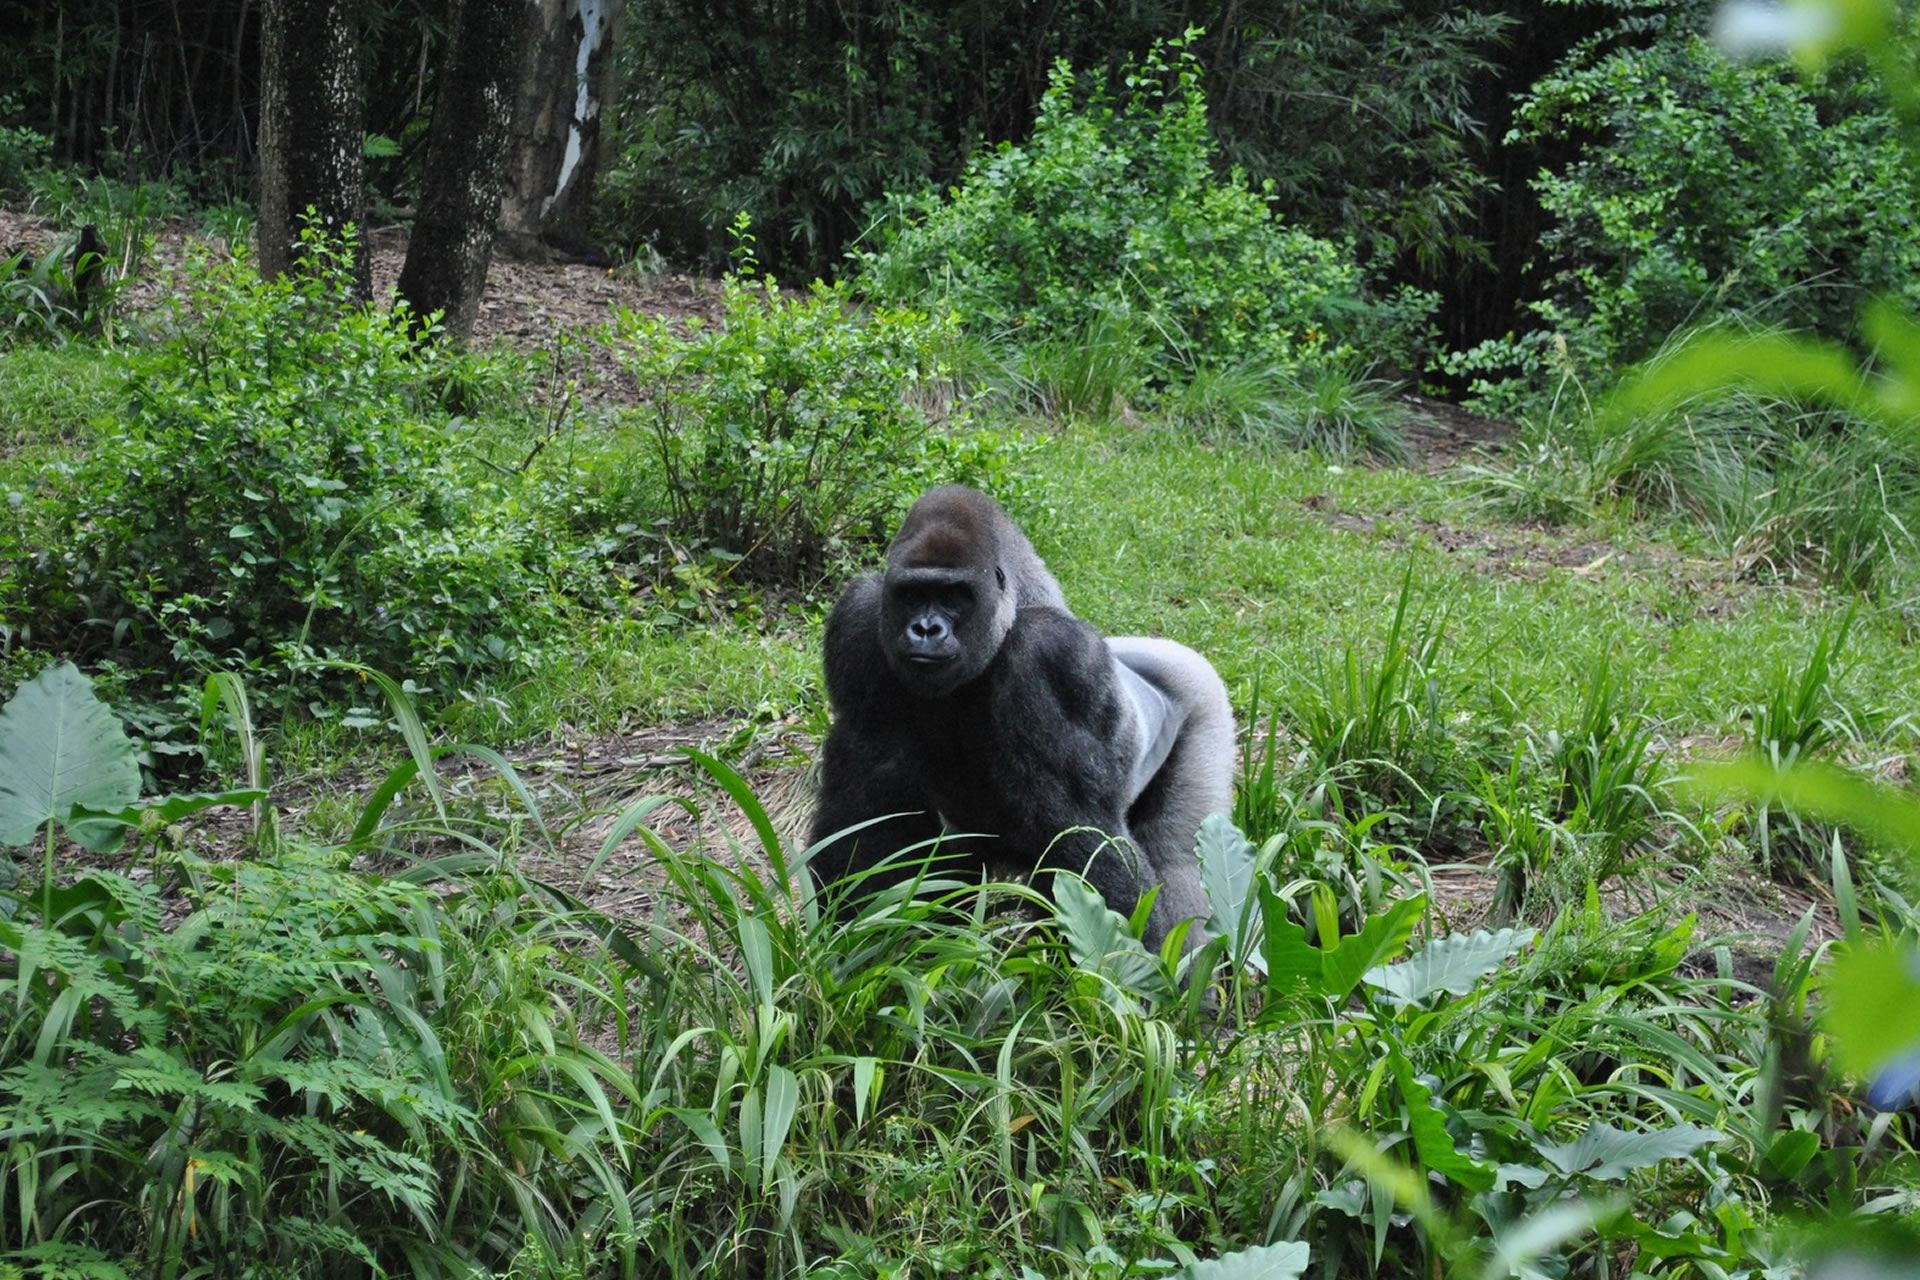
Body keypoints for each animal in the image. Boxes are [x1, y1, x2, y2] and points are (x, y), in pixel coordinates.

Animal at [808, 485, 1235, 952]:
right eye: (911, 595)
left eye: (954, 596)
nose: (925, 629)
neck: (1013, 610)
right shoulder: (859, 618)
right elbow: (869, 795)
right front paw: (849, 938)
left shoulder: (1049, 652)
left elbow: (1078, 825)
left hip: (1202, 694)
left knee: (1177, 857)